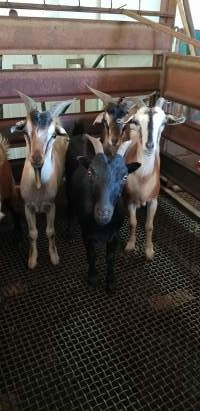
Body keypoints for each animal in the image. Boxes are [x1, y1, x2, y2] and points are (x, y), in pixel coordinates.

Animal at [9, 91, 73, 268]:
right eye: (25, 132)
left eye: (53, 135)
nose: (37, 159)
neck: (38, 188)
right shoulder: (27, 207)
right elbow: (33, 233)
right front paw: (32, 260)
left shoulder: (51, 206)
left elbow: (50, 232)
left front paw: (54, 257)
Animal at [65, 134, 141, 292]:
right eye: (90, 172)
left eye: (125, 176)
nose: (103, 214)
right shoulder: (86, 233)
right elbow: (91, 254)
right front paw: (93, 277)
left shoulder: (114, 235)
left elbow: (110, 257)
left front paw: (111, 281)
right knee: (69, 207)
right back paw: (68, 233)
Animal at [119, 97, 185, 260]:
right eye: (136, 122)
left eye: (164, 122)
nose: (149, 145)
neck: (143, 178)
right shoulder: (130, 200)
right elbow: (133, 222)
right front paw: (130, 245)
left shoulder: (153, 200)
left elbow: (149, 226)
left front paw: (149, 251)